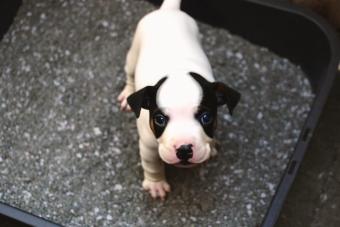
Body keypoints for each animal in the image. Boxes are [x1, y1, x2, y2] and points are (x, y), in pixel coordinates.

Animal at [118, 0, 240, 199]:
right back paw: (127, 90)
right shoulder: (148, 145)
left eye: (206, 117)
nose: (184, 148)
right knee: (129, 73)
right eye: (159, 119)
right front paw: (156, 184)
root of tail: (169, 10)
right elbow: (152, 165)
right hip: (133, 52)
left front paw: (211, 145)